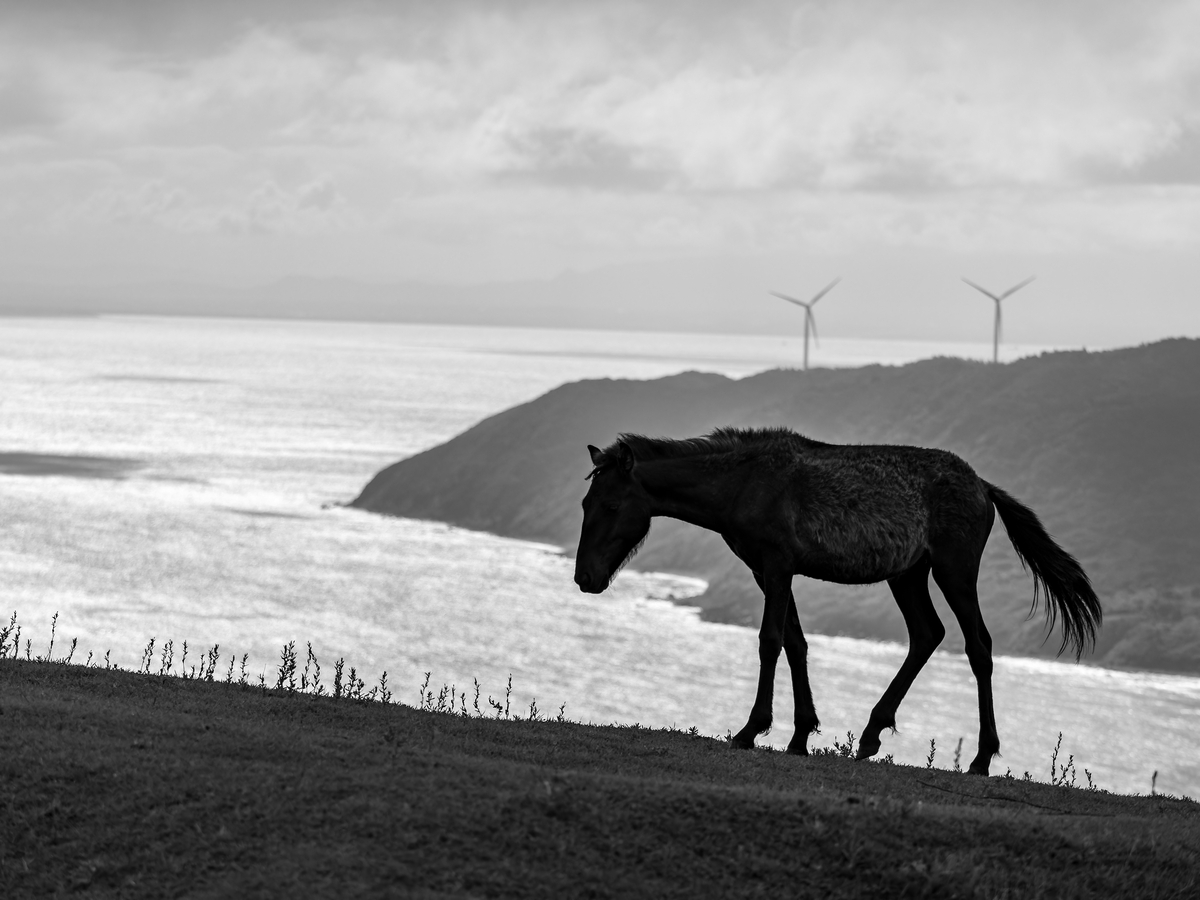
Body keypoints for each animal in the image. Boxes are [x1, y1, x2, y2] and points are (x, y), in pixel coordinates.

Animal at [573, 426, 1100, 775]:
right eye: (585, 503)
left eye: (613, 505)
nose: (585, 577)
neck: (741, 484)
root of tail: (984, 488)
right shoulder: (765, 569)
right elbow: (796, 643)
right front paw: (800, 733)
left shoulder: (777, 564)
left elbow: (769, 640)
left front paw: (751, 729)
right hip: (909, 574)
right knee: (927, 634)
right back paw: (871, 733)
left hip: (954, 568)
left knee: (979, 646)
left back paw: (981, 756)